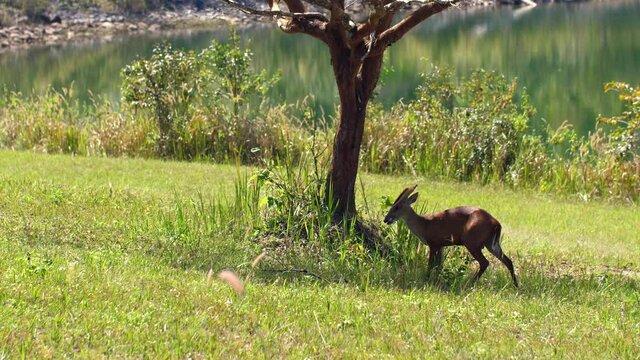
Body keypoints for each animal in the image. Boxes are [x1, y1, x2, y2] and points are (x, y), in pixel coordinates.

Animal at [382, 186, 516, 286]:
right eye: (392, 205)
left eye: (397, 206)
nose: (386, 219)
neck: (424, 225)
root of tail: (496, 224)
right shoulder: (441, 245)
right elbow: (439, 266)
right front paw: (436, 280)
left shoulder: (433, 243)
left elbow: (431, 265)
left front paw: (427, 280)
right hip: (491, 243)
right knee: (508, 260)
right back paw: (515, 285)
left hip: (472, 241)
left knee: (485, 262)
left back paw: (470, 283)